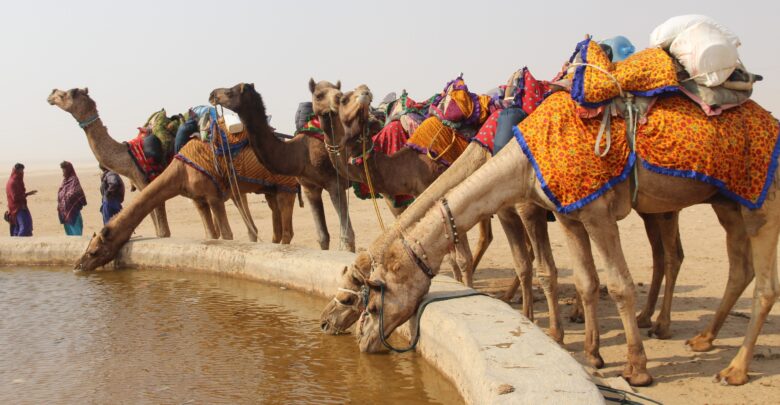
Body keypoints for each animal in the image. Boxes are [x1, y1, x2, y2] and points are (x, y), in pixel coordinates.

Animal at [48, 85, 172, 237]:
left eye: (65, 94)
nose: (52, 93)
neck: (127, 158)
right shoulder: (140, 183)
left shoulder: (148, 181)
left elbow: (163, 229)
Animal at [207, 81, 354, 251]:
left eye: (230, 93)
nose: (212, 94)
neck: (300, 153)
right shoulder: (309, 188)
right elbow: (323, 237)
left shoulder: (334, 184)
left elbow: (348, 236)